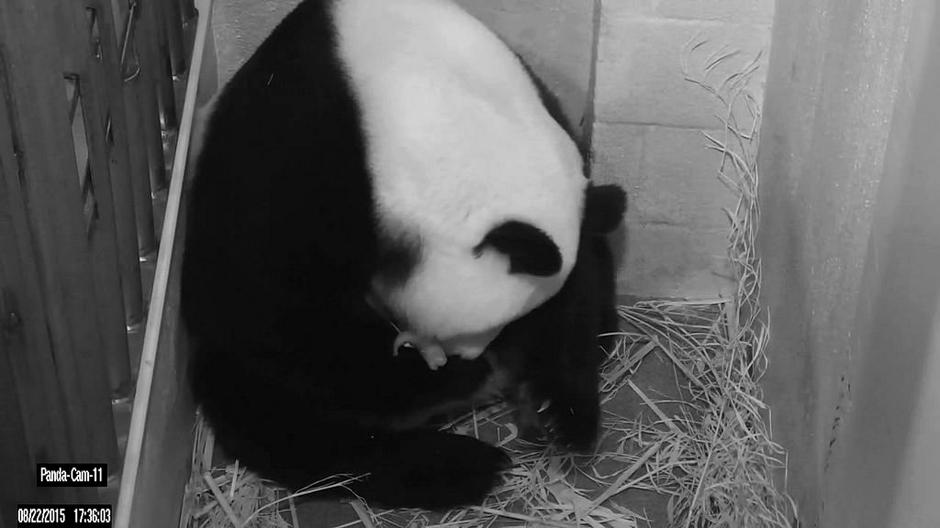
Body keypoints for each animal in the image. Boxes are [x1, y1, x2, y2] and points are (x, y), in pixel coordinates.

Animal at [181, 0, 625, 510]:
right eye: (474, 330)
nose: (474, 357)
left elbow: (577, 290)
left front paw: (558, 407)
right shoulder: (299, 162)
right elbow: (281, 318)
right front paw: (450, 380)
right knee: (281, 421)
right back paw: (457, 466)